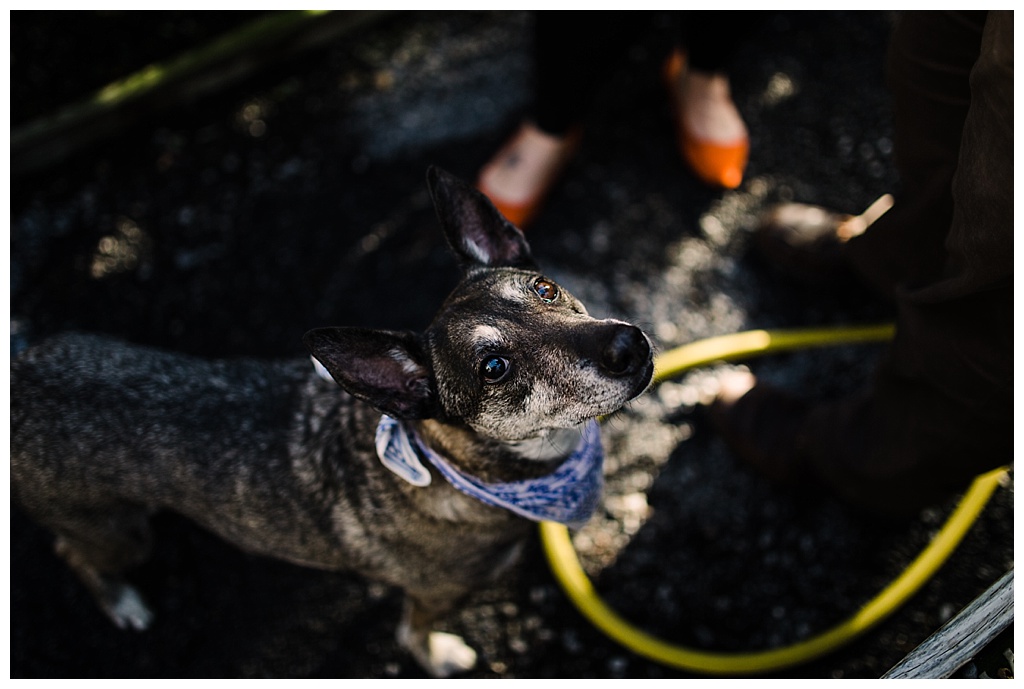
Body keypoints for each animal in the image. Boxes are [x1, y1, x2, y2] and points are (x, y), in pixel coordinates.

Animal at [9, 167, 655, 675]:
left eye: (545, 287)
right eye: (493, 367)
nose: (628, 346)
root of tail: (21, 371)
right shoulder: (435, 595)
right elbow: (413, 634)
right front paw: (440, 658)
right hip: (117, 532)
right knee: (75, 553)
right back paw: (124, 604)